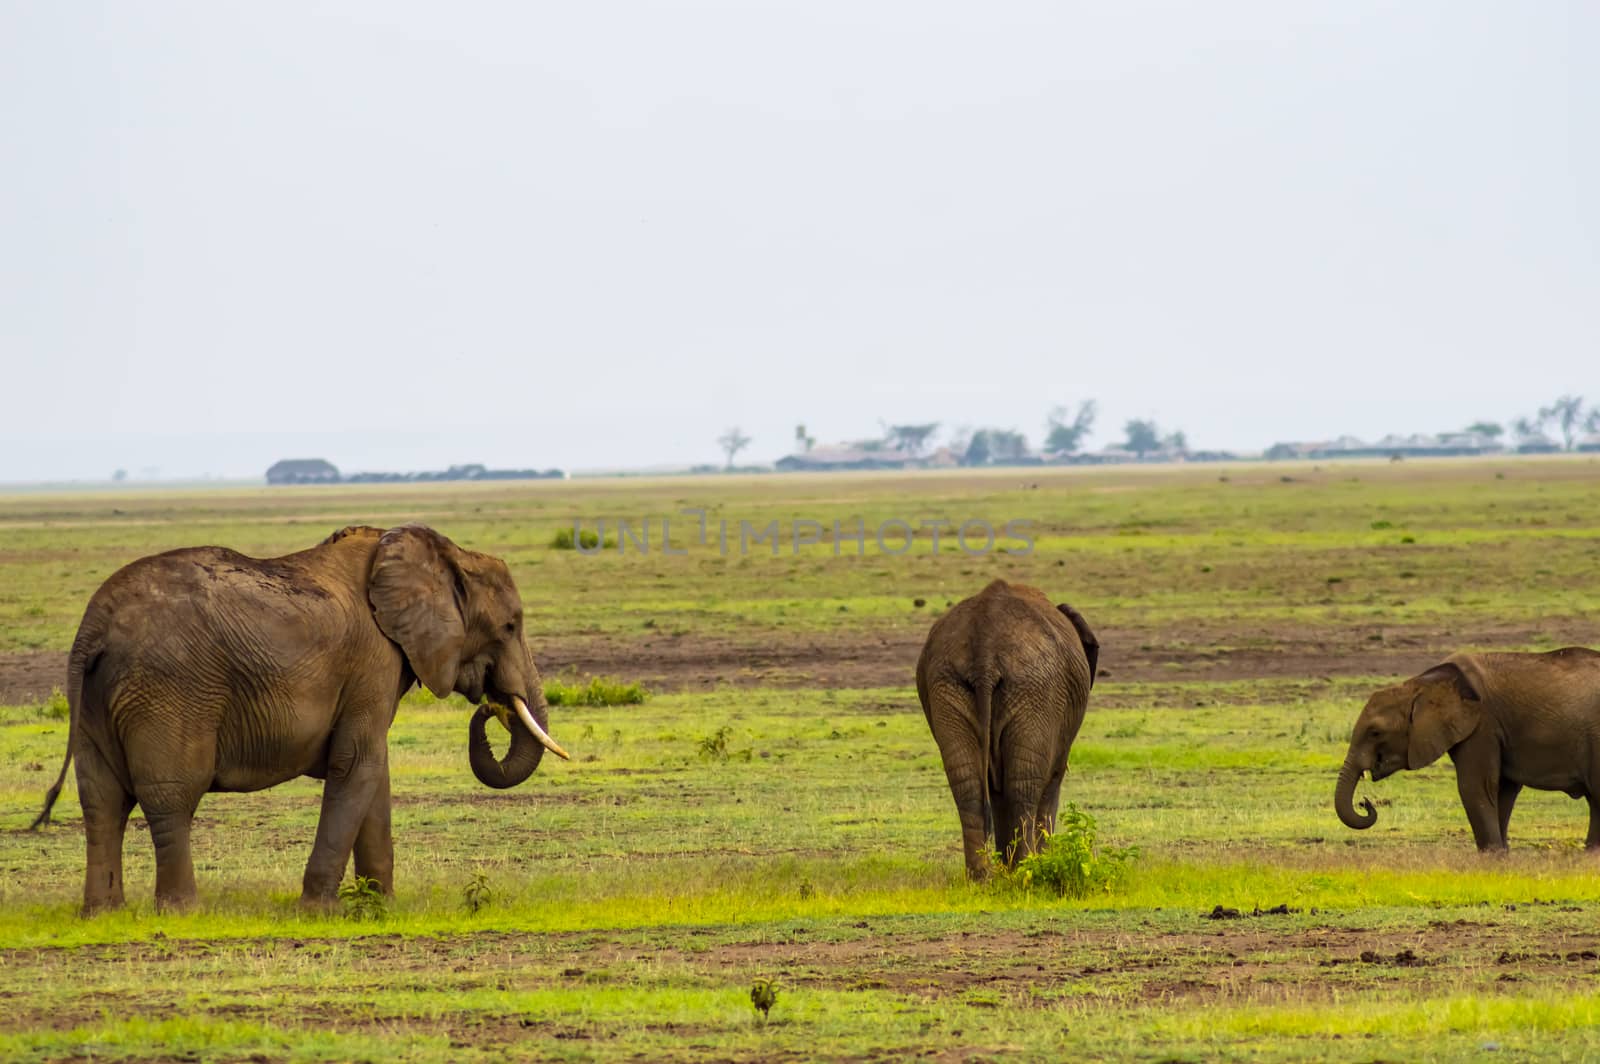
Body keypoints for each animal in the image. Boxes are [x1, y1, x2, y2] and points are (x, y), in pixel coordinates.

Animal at [31, 521, 572, 915]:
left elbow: (372, 774)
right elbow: (358, 764)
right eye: (510, 626)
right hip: (167, 690)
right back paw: (182, 911)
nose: (490, 706)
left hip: (97, 699)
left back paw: (102, 914)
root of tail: (93, 625)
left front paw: (380, 906)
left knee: (101, 801)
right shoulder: (373, 661)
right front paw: (320, 912)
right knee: (169, 798)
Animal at [915, 582, 1100, 876]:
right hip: (1035, 691)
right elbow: (1051, 781)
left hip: (947, 685)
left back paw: (981, 878)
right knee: (1023, 785)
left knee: (967, 786)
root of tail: (985, 647)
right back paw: (1027, 870)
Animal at [1331, 646, 1600, 844]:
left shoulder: (1483, 724)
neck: (1422, 684)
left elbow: (1477, 787)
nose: (1365, 802)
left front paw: (1493, 858)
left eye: (1375, 732)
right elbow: (1501, 790)